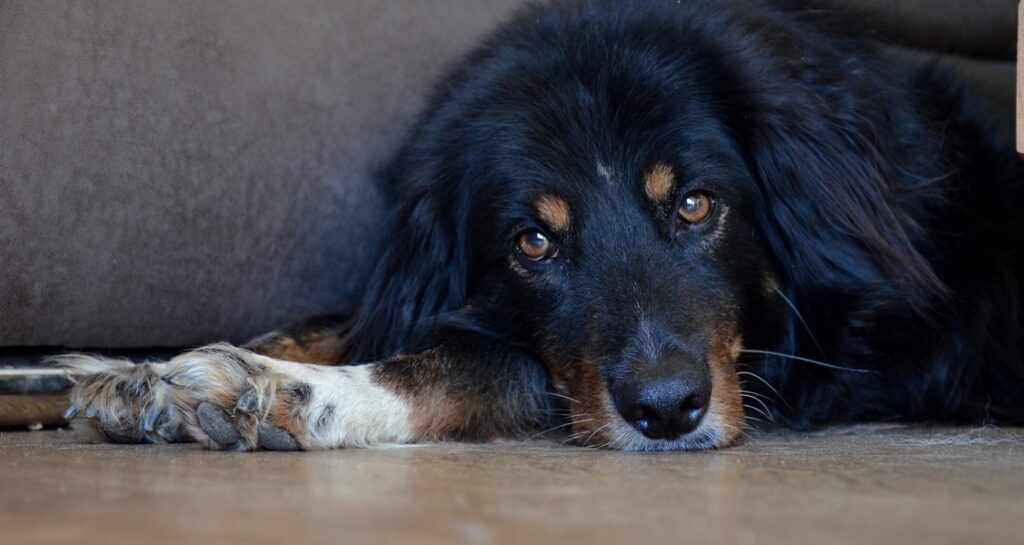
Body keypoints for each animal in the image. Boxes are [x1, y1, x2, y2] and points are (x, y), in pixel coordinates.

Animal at [58, 0, 1024, 450]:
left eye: (694, 203)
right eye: (534, 242)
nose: (667, 412)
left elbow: (475, 357)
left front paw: (271, 390)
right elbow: (341, 318)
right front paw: (135, 376)